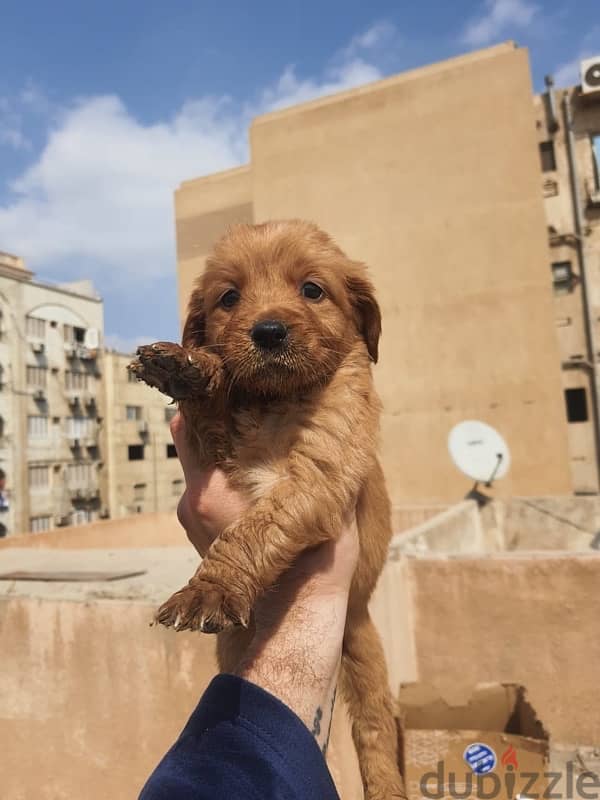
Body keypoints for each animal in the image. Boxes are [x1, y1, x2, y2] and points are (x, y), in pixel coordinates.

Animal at [129, 220, 406, 800]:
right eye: (229, 298)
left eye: (312, 289)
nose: (269, 332)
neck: (275, 402)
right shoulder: (215, 450)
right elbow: (210, 408)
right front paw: (188, 367)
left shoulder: (318, 475)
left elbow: (253, 529)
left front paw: (211, 588)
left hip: (365, 652)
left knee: (374, 731)